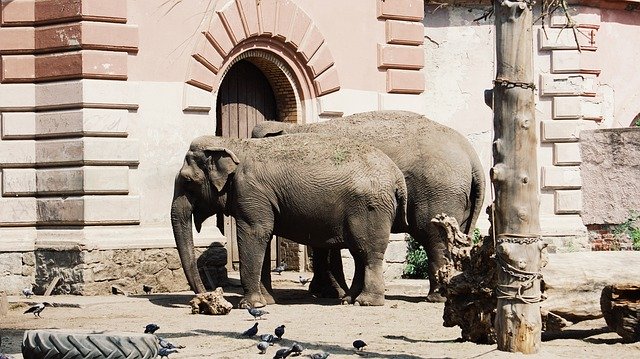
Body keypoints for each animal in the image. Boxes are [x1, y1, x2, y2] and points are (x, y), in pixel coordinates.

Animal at [170, 134, 408, 308]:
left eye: (187, 181)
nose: (204, 296)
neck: (231, 143)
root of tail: (397, 177)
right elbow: (263, 238)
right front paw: (266, 302)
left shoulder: (250, 191)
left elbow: (254, 233)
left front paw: (250, 305)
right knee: (359, 253)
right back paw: (348, 300)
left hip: (370, 208)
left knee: (368, 253)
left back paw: (366, 302)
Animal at [250, 111, 484, 302]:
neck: (293, 128)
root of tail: (472, 157)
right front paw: (328, 292)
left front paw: (330, 293)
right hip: (461, 201)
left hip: (439, 192)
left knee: (433, 237)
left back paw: (437, 297)